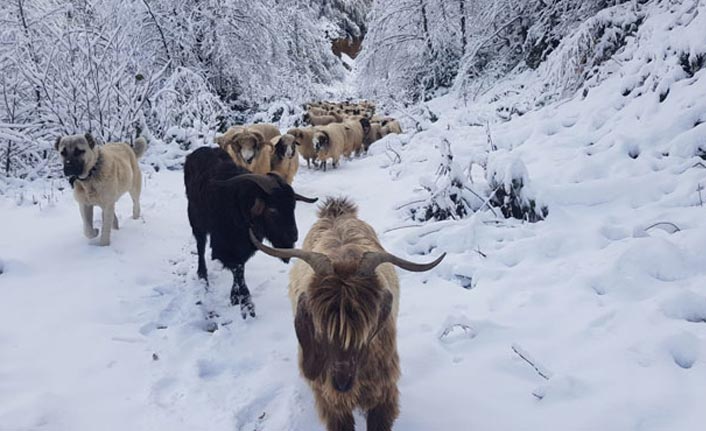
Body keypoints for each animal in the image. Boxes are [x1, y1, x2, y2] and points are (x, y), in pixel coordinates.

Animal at [182, 147, 316, 318]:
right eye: (273, 210)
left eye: (293, 206)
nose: (293, 236)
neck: (241, 207)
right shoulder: (224, 244)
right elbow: (237, 268)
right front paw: (247, 306)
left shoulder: (243, 246)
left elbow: (241, 267)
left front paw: (235, 298)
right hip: (195, 219)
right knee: (200, 246)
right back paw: (202, 276)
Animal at [250, 198, 442, 431]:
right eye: (319, 326)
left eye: (367, 328)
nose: (341, 383)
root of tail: (336, 211)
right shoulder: (330, 399)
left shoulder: (383, 391)